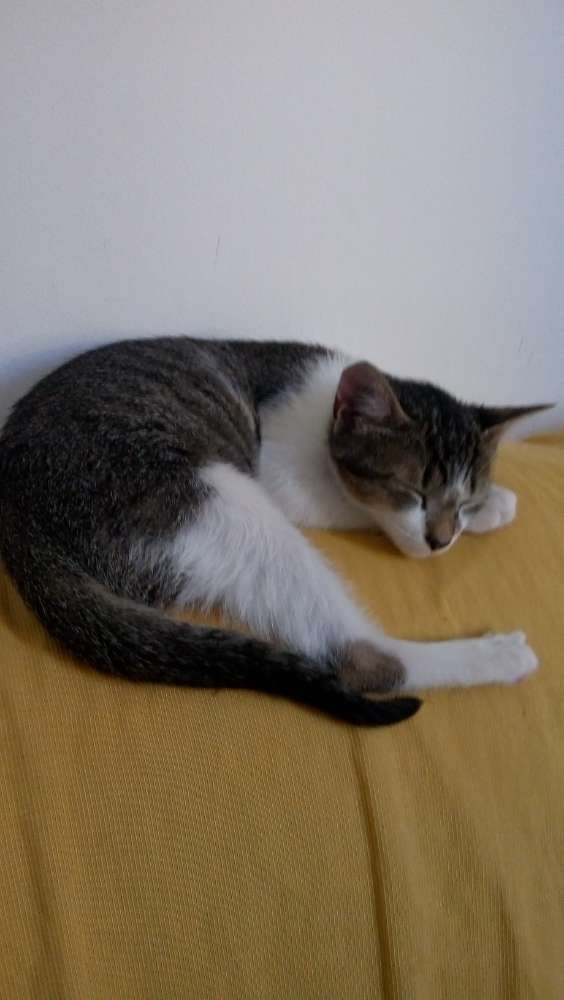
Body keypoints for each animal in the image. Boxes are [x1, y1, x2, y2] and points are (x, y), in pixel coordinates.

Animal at [0, 337, 547, 726]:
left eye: (465, 499)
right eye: (412, 492)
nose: (441, 539)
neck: (326, 410)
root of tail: (18, 516)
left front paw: (493, 505)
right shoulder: (284, 478)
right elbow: (356, 506)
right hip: (215, 496)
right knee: (359, 657)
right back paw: (495, 657)